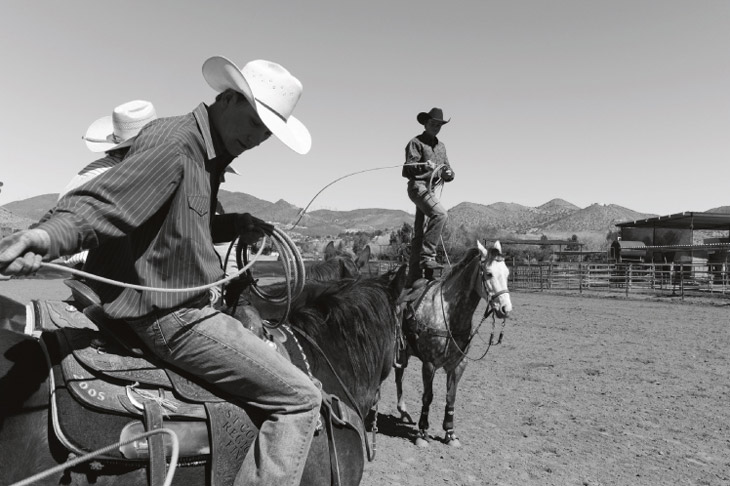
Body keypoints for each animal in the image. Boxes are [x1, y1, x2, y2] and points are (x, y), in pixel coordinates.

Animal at [396, 240, 510, 448]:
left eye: (507, 273)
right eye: (489, 273)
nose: (506, 308)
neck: (450, 316)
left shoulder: (459, 364)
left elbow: (451, 397)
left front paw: (450, 433)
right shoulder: (429, 364)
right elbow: (428, 396)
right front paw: (422, 432)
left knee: (398, 375)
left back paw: (403, 411)